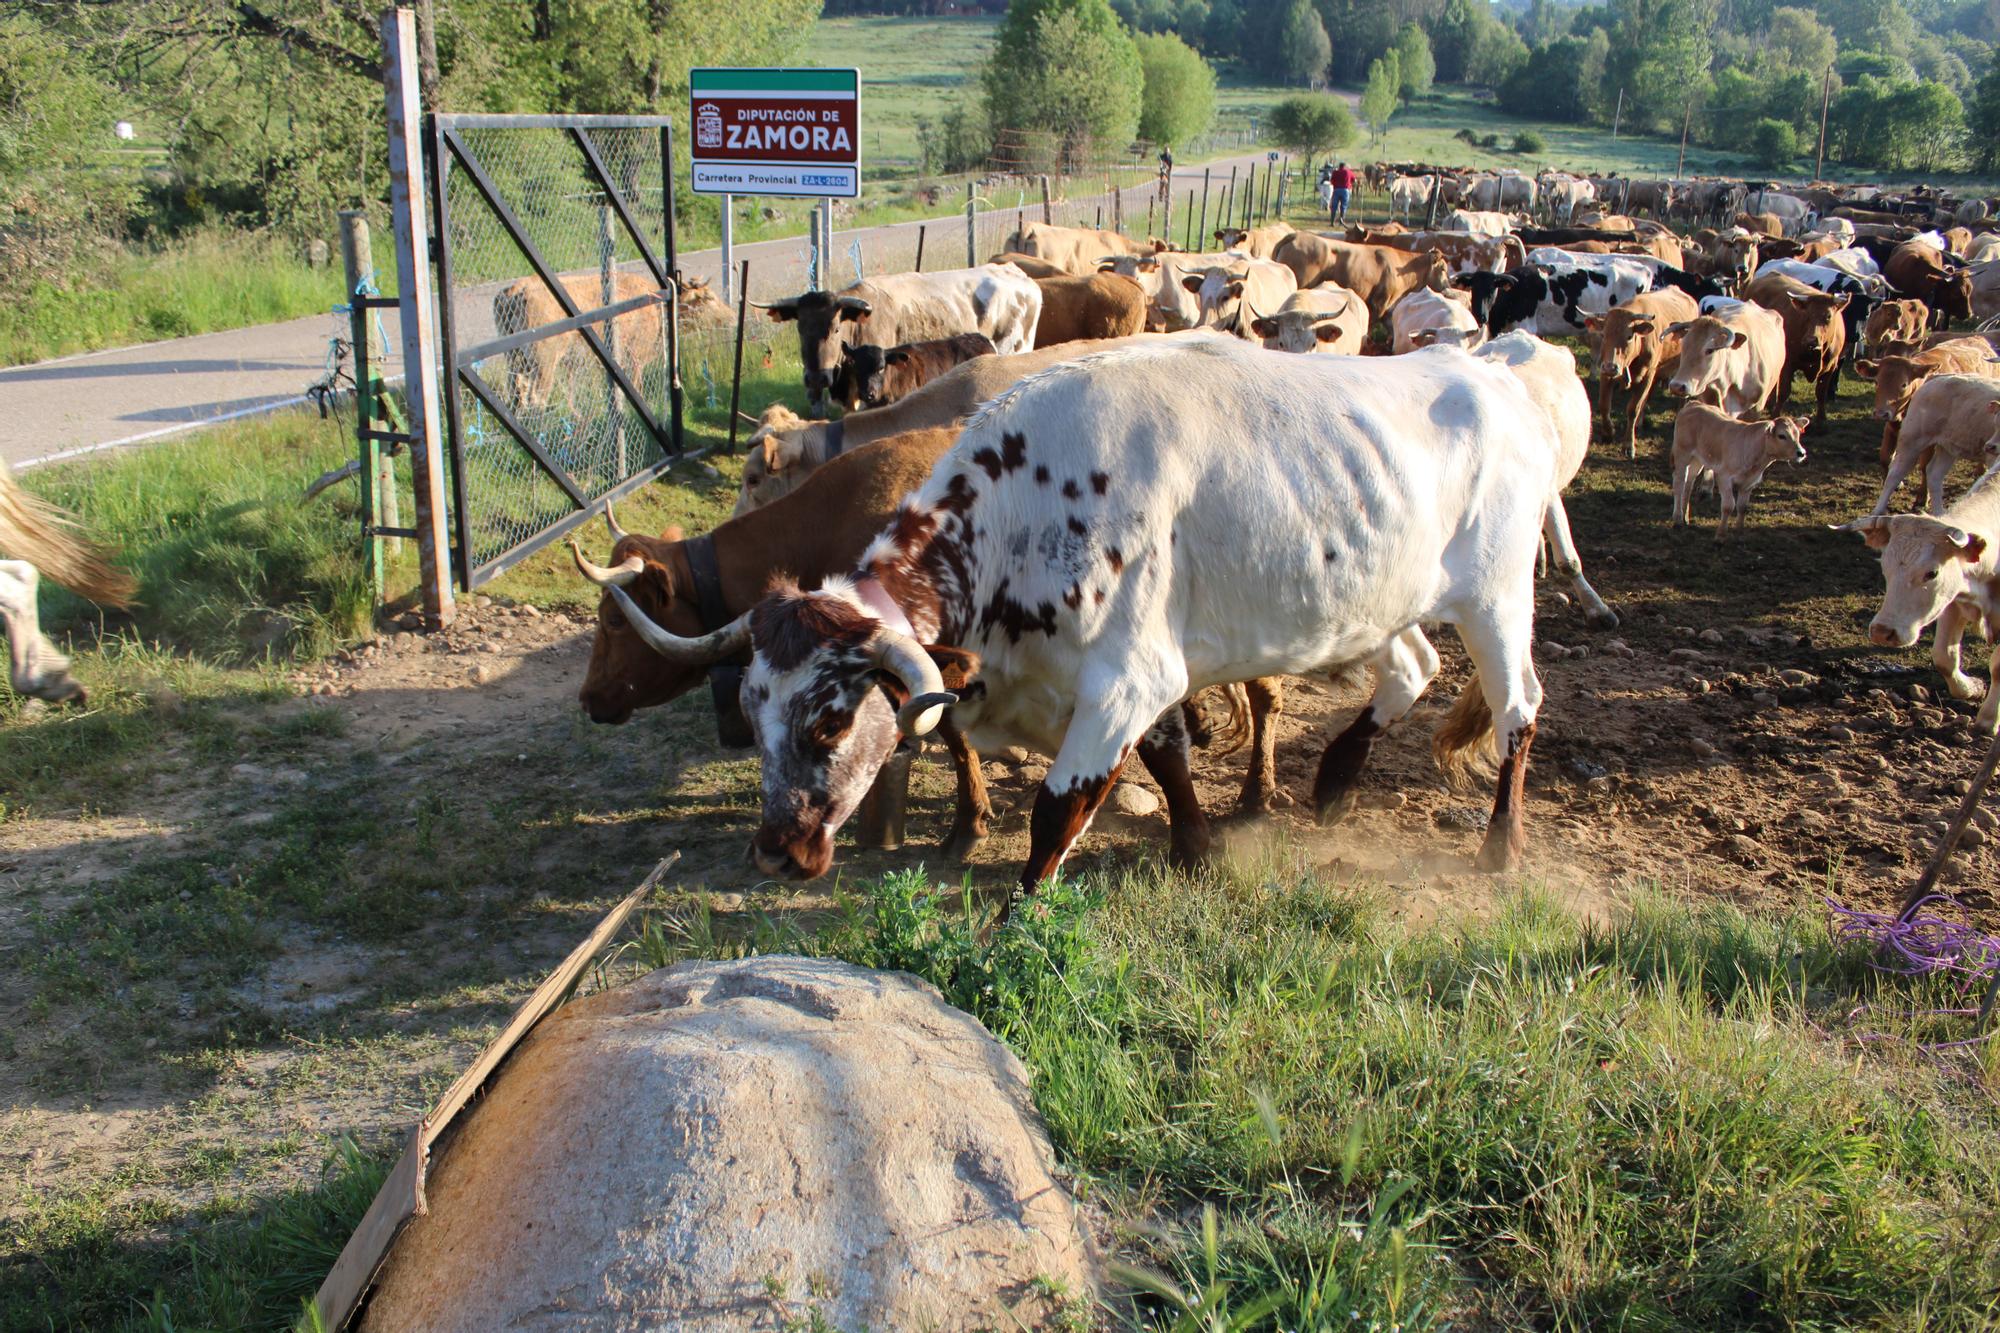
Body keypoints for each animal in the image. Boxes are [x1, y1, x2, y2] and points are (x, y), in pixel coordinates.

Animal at [1584, 286, 1696, 456]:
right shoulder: (1606, 373)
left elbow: (1633, 409)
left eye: (1629, 336)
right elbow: (1604, 405)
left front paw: (1628, 445)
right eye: (1603, 335)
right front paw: (1608, 433)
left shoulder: (1647, 375)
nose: (1611, 366)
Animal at [1864, 378, 2000, 520]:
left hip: (1948, 446)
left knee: (1934, 474)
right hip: (1912, 439)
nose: (1989, 446)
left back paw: (1939, 514)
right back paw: (1877, 511)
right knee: (1895, 474)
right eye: (1996, 424)